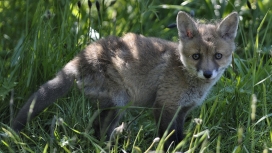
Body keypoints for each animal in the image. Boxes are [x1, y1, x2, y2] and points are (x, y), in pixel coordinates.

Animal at [12, 11, 238, 150]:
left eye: (218, 56)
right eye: (196, 56)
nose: (207, 74)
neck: (183, 71)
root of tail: (81, 58)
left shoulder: (182, 111)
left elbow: (178, 136)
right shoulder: (164, 106)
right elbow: (168, 138)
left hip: (116, 107)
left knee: (97, 129)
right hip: (120, 101)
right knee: (99, 131)